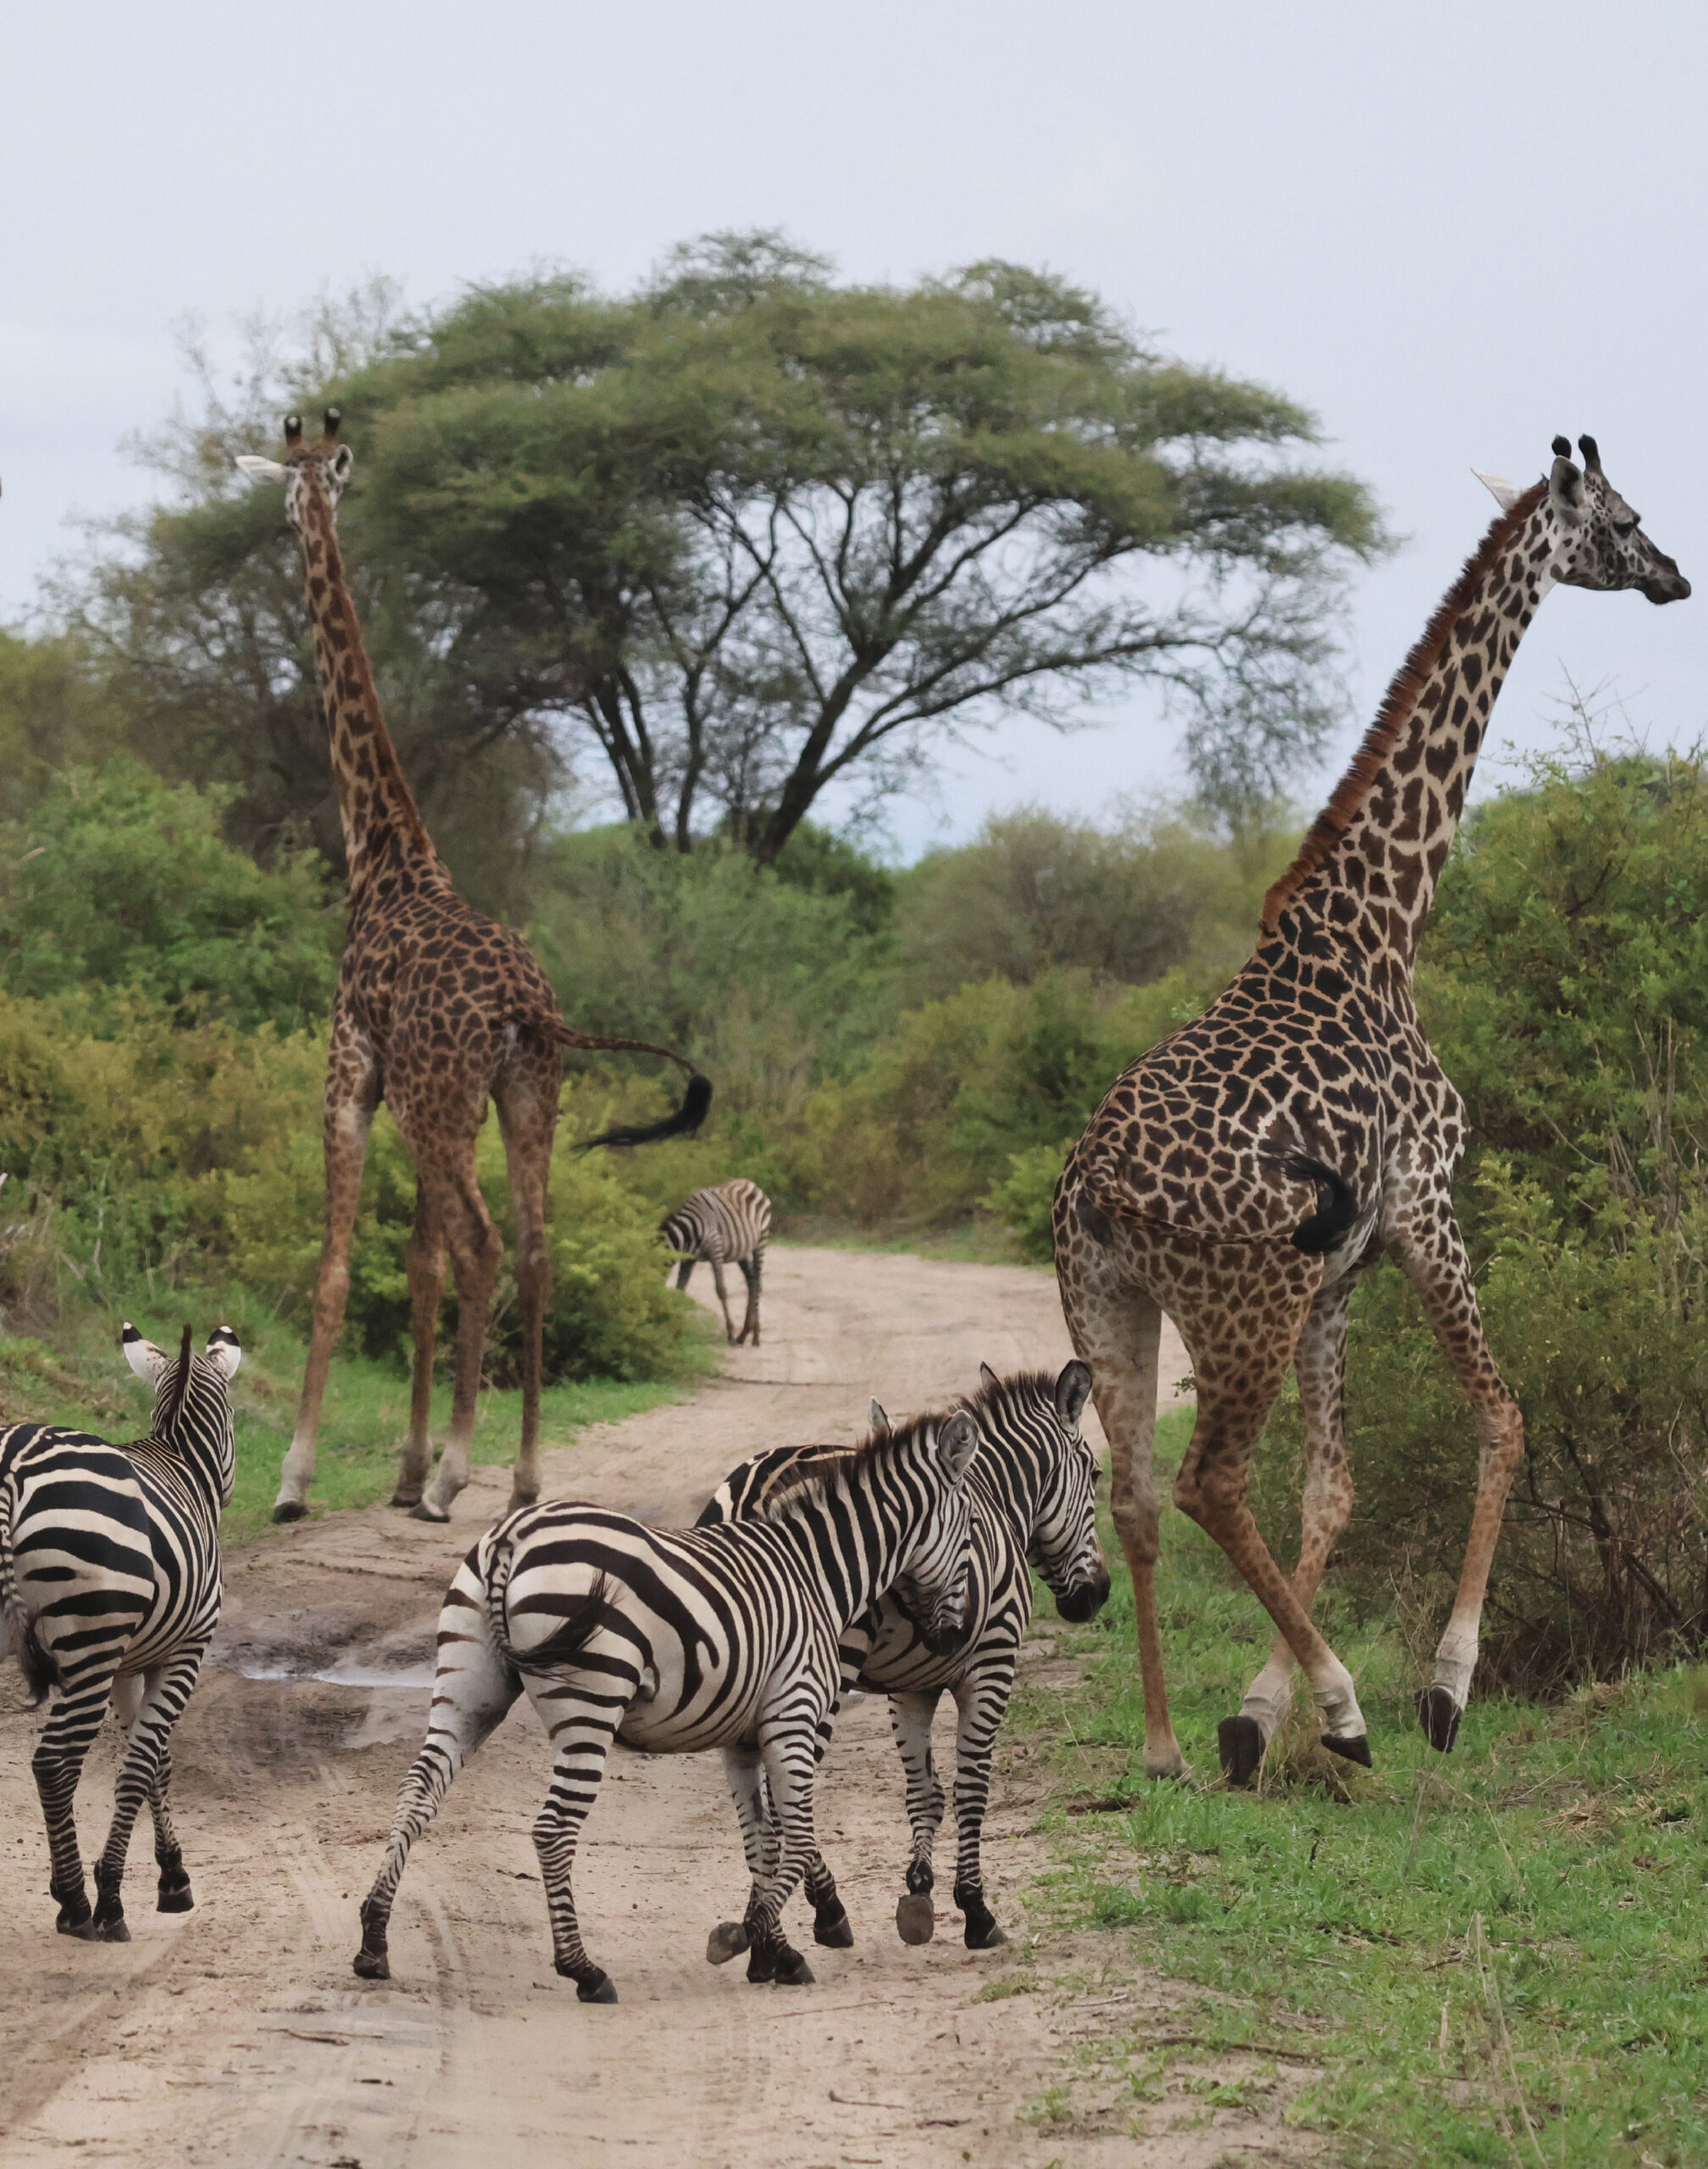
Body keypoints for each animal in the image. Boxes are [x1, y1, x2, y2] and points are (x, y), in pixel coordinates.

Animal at [236, 411, 710, 1525]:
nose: (290, 516)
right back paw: (522, 1475)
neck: (382, 855)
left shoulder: (353, 1076)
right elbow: (416, 1261)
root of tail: (530, 1003)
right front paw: (405, 1465)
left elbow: (337, 1266)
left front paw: (298, 1476)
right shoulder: (415, 1094)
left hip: (446, 1100)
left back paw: (461, 1475)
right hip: (525, 1091)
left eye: (292, 484)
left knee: (487, 1243)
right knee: (530, 1247)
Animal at [1053, 435, 1689, 1785]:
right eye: (1623, 519)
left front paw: (1254, 1715)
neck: (1384, 924)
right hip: (1244, 1300)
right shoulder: (1423, 1207)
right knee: (1209, 1479)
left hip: (1110, 1297)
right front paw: (1432, 1693)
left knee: (1136, 1491)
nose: (1676, 577)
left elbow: (1333, 1489)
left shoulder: (1345, 1270)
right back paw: (1346, 1706)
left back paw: (1164, 1748)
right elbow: (1503, 1417)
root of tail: (1101, 1186)